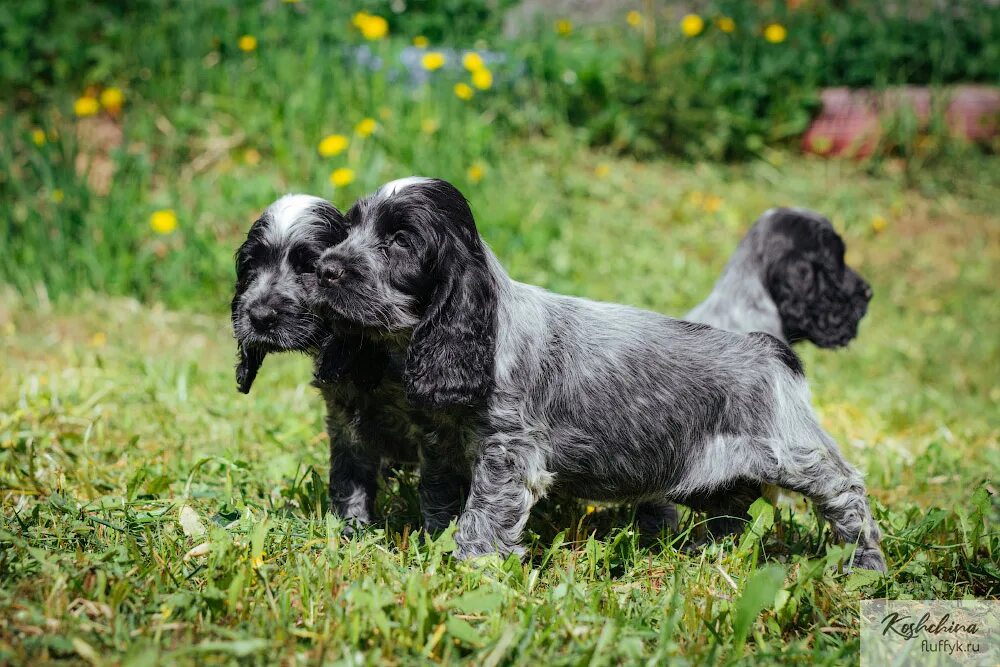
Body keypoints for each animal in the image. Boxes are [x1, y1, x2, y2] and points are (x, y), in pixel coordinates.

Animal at [232, 196, 432, 528]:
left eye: (308, 267)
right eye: (251, 266)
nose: (259, 317)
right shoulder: (343, 419)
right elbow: (349, 475)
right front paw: (351, 527)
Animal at [314, 179, 892, 576]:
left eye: (400, 241)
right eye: (349, 228)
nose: (324, 268)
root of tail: (769, 349)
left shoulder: (508, 455)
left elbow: (482, 520)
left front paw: (470, 572)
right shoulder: (440, 445)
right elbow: (440, 503)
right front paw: (435, 551)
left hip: (794, 452)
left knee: (847, 492)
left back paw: (865, 566)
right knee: (730, 514)